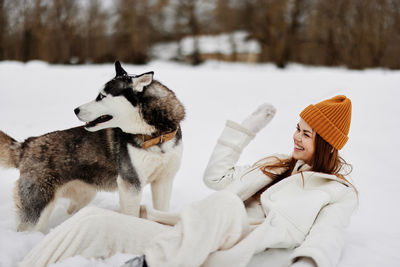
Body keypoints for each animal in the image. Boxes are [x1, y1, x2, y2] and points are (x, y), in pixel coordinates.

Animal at [0, 62, 185, 232]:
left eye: (101, 96)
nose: (75, 110)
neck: (156, 138)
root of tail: (26, 144)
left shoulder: (164, 180)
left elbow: (162, 210)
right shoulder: (131, 183)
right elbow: (131, 214)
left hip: (84, 194)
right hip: (37, 208)